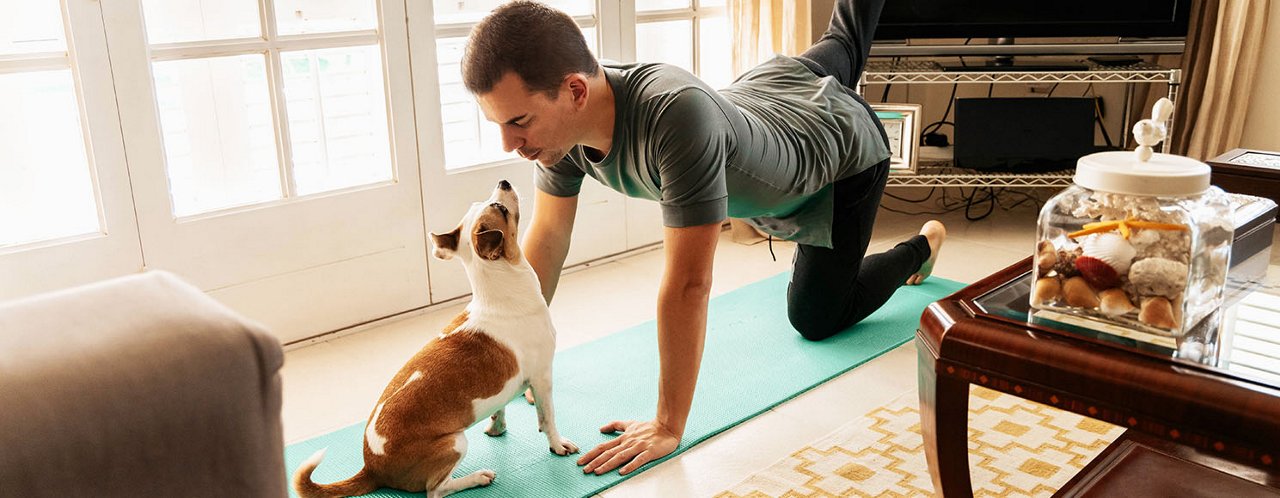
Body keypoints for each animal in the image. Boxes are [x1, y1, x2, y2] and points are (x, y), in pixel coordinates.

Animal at [293, 179, 578, 496]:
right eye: (501, 209)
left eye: (482, 202)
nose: (502, 183)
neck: (499, 293)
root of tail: (372, 469)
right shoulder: (542, 377)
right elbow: (548, 419)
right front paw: (558, 445)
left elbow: (500, 408)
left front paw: (497, 428)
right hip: (455, 443)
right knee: (436, 490)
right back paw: (477, 478)